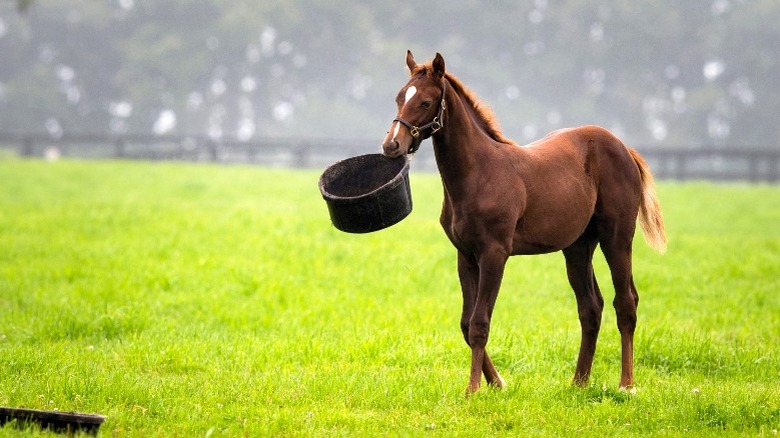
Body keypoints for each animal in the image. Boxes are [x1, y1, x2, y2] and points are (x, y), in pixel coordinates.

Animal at [380, 51, 668, 394]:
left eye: (425, 102)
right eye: (399, 97)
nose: (391, 145)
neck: (478, 173)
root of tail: (623, 148)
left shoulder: (494, 254)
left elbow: (479, 323)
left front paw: (474, 389)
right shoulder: (465, 255)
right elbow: (465, 323)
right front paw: (496, 382)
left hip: (618, 237)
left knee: (625, 303)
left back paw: (626, 384)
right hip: (578, 246)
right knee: (590, 306)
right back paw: (579, 382)